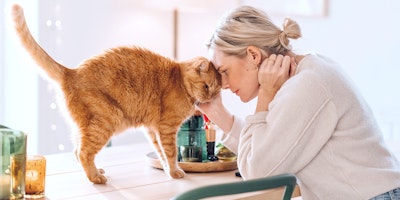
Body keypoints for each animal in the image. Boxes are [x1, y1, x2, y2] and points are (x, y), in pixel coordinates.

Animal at [11, 4, 222, 184]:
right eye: (206, 86)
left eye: (216, 91)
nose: (209, 98)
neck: (179, 80)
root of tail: (72, 71)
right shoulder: (167, 128)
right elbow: (170, 153)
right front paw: (175, 171)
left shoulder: (153, 130)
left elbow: (161, 154)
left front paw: (168, 171)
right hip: (107, 120)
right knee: (83, 153)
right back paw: (96, 177)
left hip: (84, 127)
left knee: (76, 150)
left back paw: (96, 171)